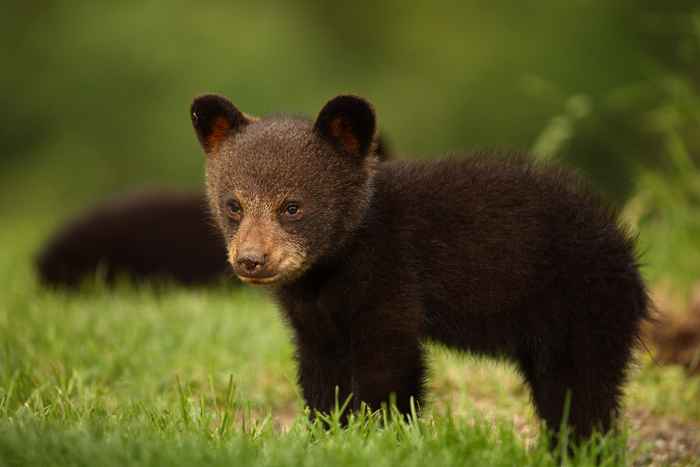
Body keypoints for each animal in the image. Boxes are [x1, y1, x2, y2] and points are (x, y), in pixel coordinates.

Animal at [190, 92, 652, 443]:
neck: (329, 270)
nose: (251, 259)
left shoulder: (392, 278)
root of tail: (626, 252)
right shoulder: (313, 320)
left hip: (582, 311)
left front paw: (382, 437)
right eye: (233, 205)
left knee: (582, 391)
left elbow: (390, 369)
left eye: (292, 206)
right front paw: (326, 435)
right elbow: (322, 377)